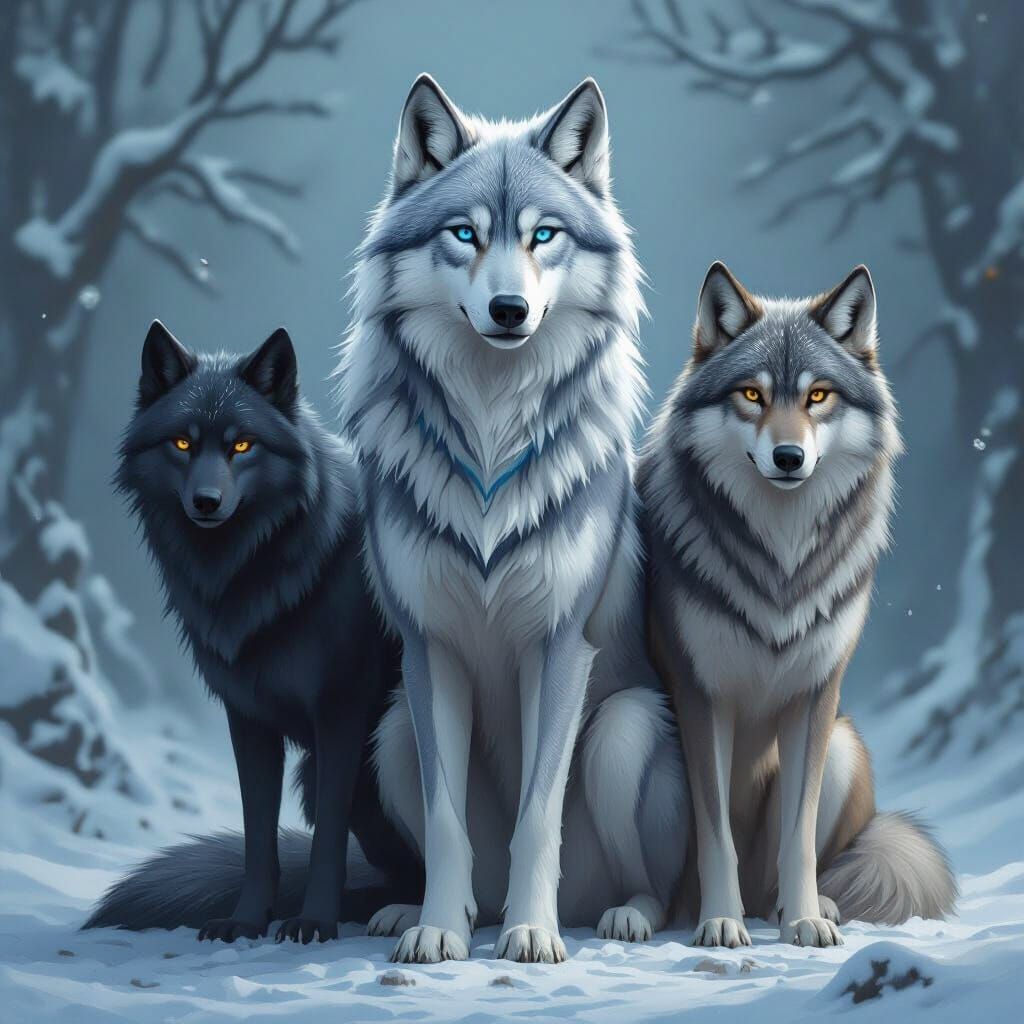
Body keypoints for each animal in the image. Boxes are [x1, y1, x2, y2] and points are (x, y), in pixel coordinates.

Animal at [85, 322, 422, 942]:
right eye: (183, 444)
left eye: (242, 445)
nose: (206, 502)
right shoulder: (247, 718)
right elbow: (257, 836)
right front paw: (246, 920)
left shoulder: (339, 715)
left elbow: (326, 841)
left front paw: (314, 920)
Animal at [337, 75, 690, 964]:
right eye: (465, 233)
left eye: (544, 236)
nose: (507, 308)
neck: (492, 433)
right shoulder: (428, 653)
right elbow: (446, 821)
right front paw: (435, 931)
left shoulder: (559, 645)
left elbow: (538, 813)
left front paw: (533, 934)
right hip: (390, 735)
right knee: (468, 867)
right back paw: (435, 912)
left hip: (625, 728)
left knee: (655, 887)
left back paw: (611, 917)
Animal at [639, 262, 958, 948]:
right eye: (752, 395)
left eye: (817, 397)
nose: (789, 457)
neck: (779, 563)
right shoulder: (702, 697)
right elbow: (717, 838)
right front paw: (720, 922)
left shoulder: (815, 698)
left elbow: (799, 837)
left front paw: (807, 920)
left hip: (842, 745)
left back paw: (803, 909)